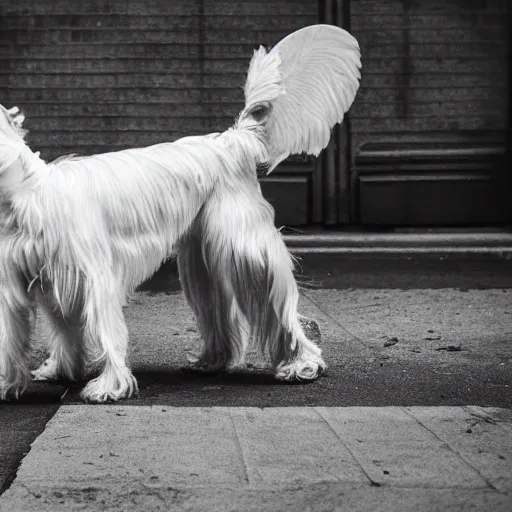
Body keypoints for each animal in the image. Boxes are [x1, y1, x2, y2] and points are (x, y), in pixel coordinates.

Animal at [0, 24, 360, 402]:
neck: (29, 194)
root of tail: (229, 142)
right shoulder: (32, 283)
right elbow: (41, 334)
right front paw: (38, 376)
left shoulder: (94, 278)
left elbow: (105, 331)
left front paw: (109, 385)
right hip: (202, 260)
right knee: (220, 315)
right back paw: (213, 361)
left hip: (246, 253)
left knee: (279, 310)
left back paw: (300, 364)